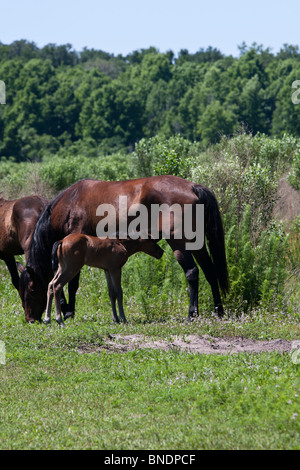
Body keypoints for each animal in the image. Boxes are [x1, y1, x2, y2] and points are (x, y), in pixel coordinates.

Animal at [19, 174, 230, 324]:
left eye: (32, 290)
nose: (30, 320)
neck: (70, 202)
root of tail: (192, 187)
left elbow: (73, 283)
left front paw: (69, 311)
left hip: (179, 243)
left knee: (192, 273)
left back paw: (191, 314)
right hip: (196, 244)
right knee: (210, 272)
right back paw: (218, 311)